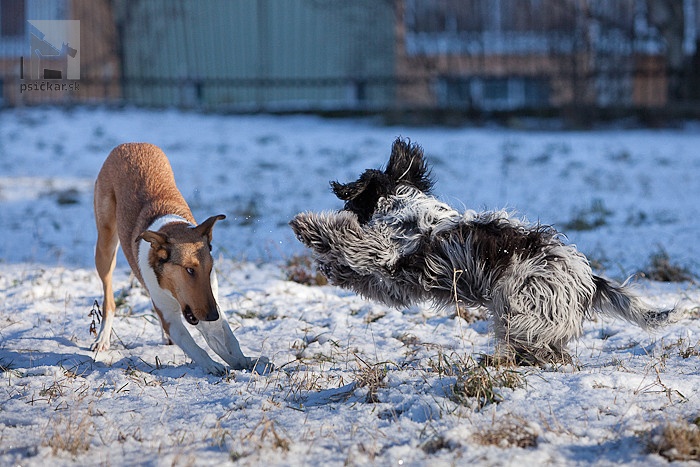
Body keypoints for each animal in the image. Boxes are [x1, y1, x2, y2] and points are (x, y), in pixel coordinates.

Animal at [93, 144, 268, 374]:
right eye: (189, 270)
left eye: (210, 269)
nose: (212, 315)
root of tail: (130, 144)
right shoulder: (175, 315)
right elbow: (193, 345)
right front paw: (213, 366)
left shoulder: (206, 302)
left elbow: (227, 340)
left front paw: (246, 362)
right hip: (105, 247)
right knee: (109, 298)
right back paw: (102, 339)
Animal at [290, 139, 672, 366]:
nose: (345, 205)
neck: (401, 202)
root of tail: (587, 278)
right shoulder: (398, 281)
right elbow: (364, 275)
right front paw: (333, 268)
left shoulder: (386, 251)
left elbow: (350, 239)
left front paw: (308, 225)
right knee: (553, 348)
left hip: (517, 302)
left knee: (534, 343)